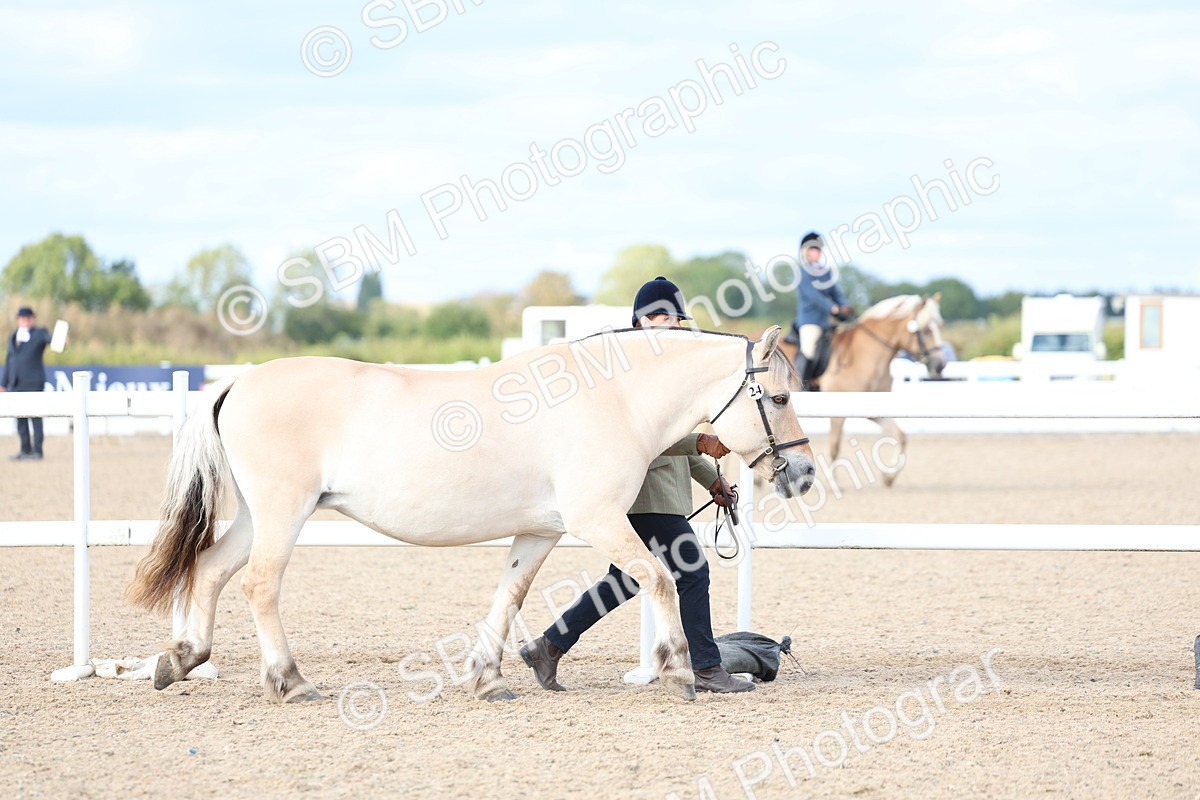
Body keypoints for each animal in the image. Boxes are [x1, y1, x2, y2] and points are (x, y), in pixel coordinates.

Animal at [126, 326, 816, 704]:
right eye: (780, 397)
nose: (805, 473)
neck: (613, 400)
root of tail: (238, 382)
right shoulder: (597, 520)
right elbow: (660, 578)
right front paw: (677, 671)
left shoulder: (541, 530)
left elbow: (509, 597)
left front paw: (488, 678)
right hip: (283, 512)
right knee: (260, 585)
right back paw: (289, 682)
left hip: (254, 516)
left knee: (210, 570)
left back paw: (180, 658)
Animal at [776, 294, 946, 486]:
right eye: (926, 330)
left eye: (939, 325)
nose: (940, 365)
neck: (865, 353)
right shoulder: (838, 412)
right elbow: (834, 446)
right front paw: (834, 483)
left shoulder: (873, 410)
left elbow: (901, 436)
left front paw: (888, 477)